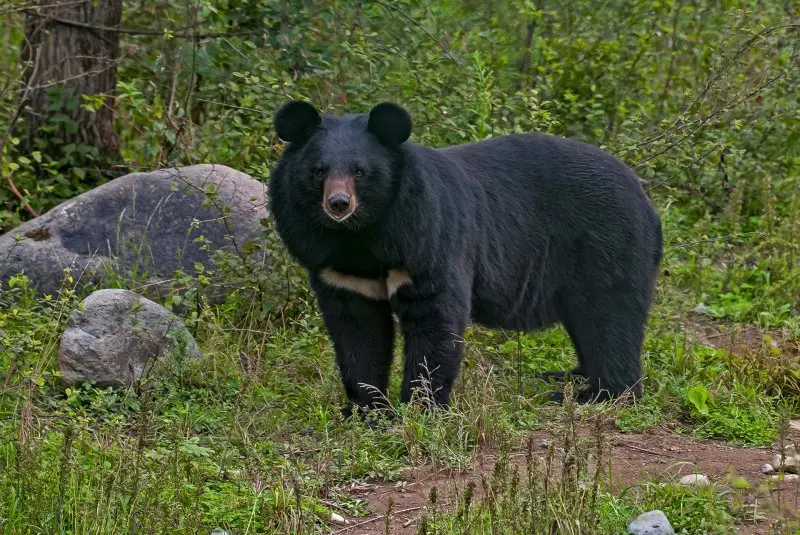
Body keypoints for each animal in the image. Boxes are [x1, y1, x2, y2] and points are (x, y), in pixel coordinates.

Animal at [268, 101, 664, 414]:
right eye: (319, 171)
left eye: (360, 171)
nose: (338, 204)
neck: (361, 236)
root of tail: (646, 200)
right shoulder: (337, 267)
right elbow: (357, 330)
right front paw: (367, 409)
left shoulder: (426, 238)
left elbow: (434, 317)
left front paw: (421, 406)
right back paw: (567, 375)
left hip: (607, 244)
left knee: (610, 317)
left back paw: (599, 393)